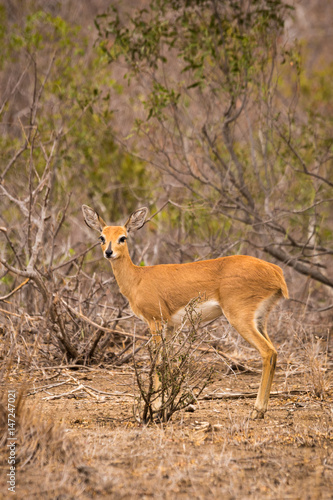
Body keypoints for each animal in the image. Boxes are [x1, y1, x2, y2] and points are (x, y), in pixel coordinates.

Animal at [81, 203, 286, 418]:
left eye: (123, 237)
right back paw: (262, 409)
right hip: (260, 319)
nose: (109, 252)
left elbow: (156, 360)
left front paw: (155, 407)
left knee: (267, 352)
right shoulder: (170, 326)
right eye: (102, 237)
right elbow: (166, 361)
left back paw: (257, 410)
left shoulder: (155, 321)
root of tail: (275, 272)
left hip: (239, 317)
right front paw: (162, 404)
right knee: (274, 353)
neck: (138, 278)